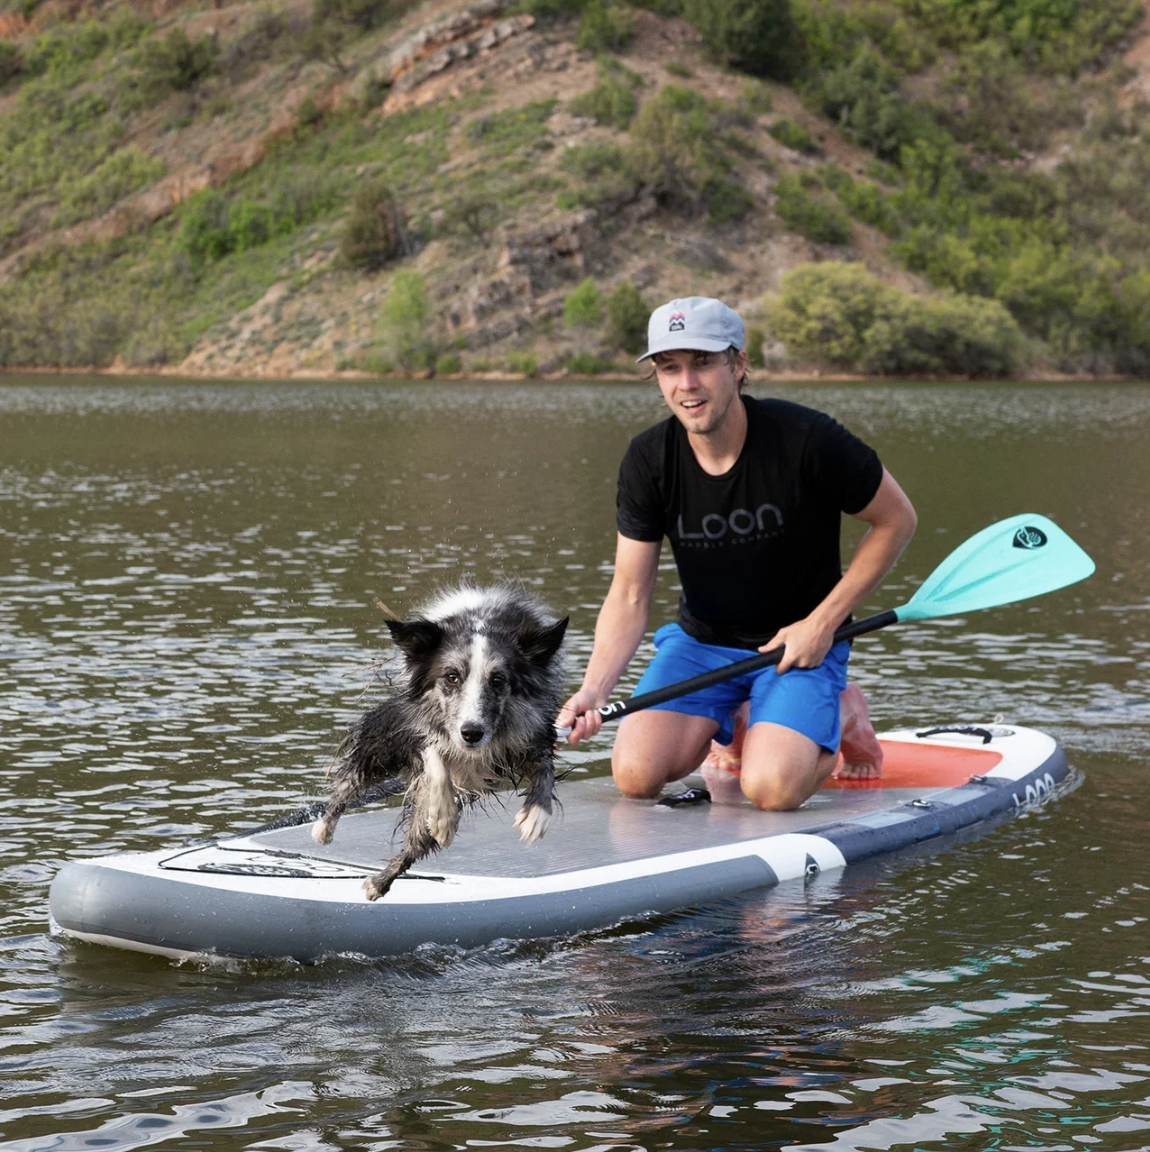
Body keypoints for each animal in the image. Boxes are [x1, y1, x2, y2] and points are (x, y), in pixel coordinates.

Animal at [313, 585, 569, 898]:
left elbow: (545, 772)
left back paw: (379, 882)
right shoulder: (409, 728)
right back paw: (324, 828)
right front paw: (444, 819)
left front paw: (536, 815)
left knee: (414, 843)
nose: (472, 733)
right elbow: (435, 759)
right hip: (381, 746)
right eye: (451, 677)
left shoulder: (534, 733)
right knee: (350, 783)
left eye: (498, 680)